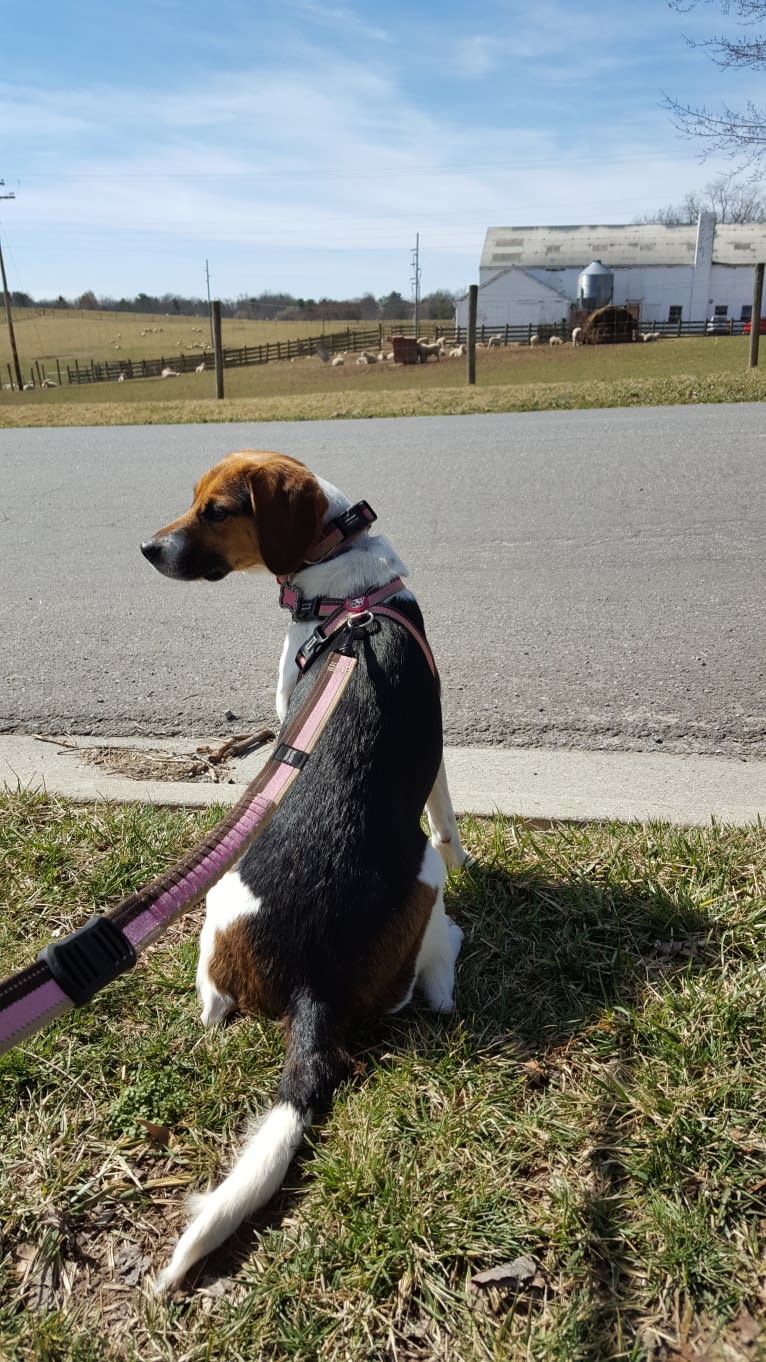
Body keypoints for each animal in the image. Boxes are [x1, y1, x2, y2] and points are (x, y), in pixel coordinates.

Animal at [140, 452, 468, 1291]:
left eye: (216, 509)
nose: (148, 550)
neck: (343, 580)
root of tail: (312, 977)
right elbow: (451, 820)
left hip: (230, 893)